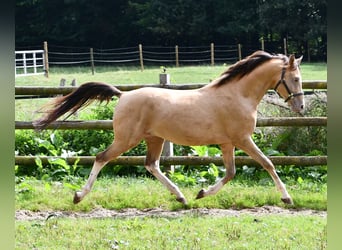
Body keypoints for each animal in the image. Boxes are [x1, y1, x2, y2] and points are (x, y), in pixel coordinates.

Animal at [33, 50, 304, 205]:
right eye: (296, 78)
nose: (300, 106)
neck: (238, 95)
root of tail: (123, 95)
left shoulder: (227, 142)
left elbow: (230, 173)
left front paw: (201, 193)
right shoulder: (242, 139)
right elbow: (268, 163)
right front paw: (287, 197)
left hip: (155, 139)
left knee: (151, 165)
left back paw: (181, 197)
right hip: (126, 140)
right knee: (101, 158)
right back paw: (79, 196)